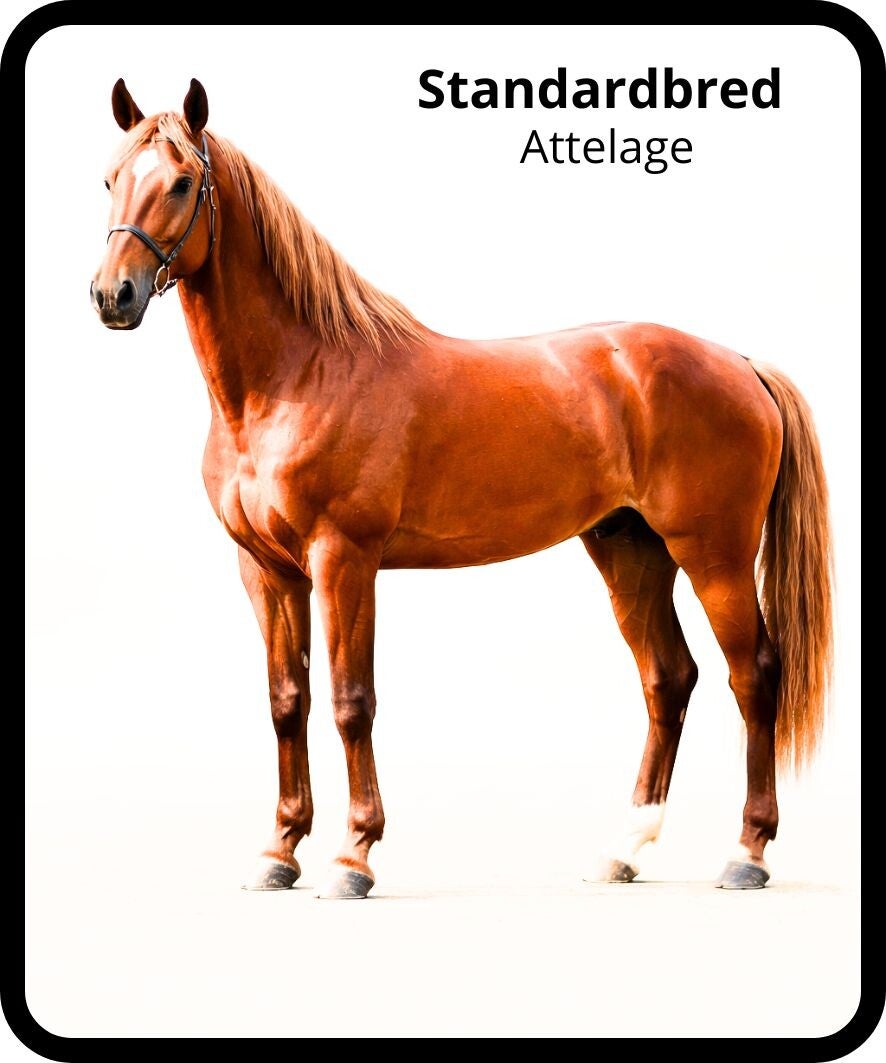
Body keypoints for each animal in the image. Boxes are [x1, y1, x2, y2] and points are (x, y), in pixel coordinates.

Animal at [91, 79, 832, 898]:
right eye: (110, 179)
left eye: (182, 182)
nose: (112, 295)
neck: (294, 375)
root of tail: (742, 363)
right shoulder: (266, 570)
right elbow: (288, 702)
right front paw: (278, 853)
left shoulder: (343, 560)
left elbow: (350, 702)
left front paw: (353, 857)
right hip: (629, 551)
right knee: (669, 679)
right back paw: (625, 851)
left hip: (714, 554)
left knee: (752, 675)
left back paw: (747, 853)